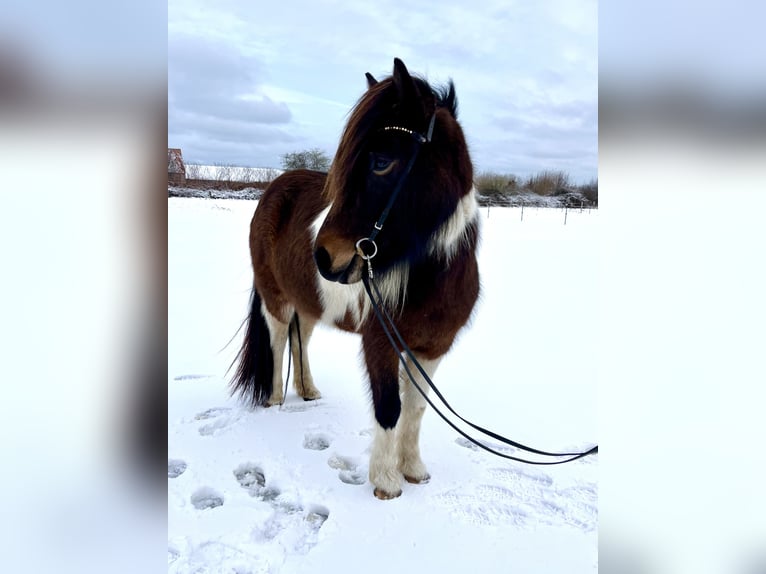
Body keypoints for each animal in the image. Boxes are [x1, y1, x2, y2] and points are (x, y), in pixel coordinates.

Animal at [232, 58, 480, 500]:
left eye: (381, 161)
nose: (324, 257)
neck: (429, 277)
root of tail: (274, 188)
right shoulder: (380, 342)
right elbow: (389, 406)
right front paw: (386, 482)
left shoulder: (434, 347)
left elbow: (416, 407)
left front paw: (414, 470)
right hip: (276, 297)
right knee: (278, 339)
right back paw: (275, 399)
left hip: (308, 302)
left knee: (301, 338)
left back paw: (308, 391)